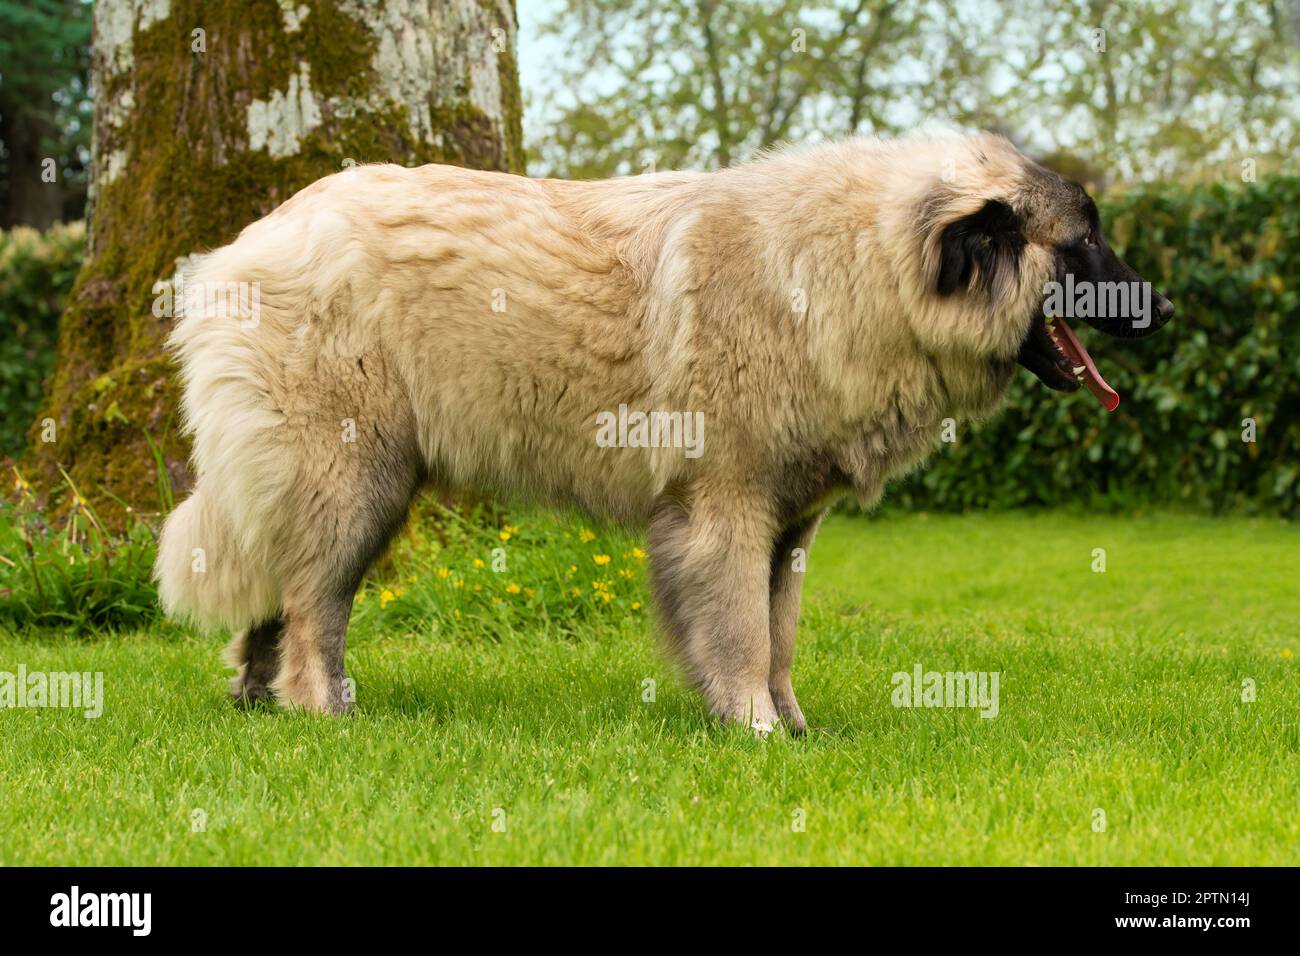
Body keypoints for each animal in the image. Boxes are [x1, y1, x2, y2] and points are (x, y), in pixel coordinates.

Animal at [157, 132, 1175, 733]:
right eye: (1084, 244)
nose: (1164, 308)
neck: (854, 269)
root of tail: (243, 245)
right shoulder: (723, 510)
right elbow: (743, 635)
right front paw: (754, 730)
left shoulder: (787, 527)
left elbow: (780, 635)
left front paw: (791, 728)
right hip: (353, 481)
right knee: (311, 607)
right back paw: (320, 712)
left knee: (277, 601)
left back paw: (259, 705)